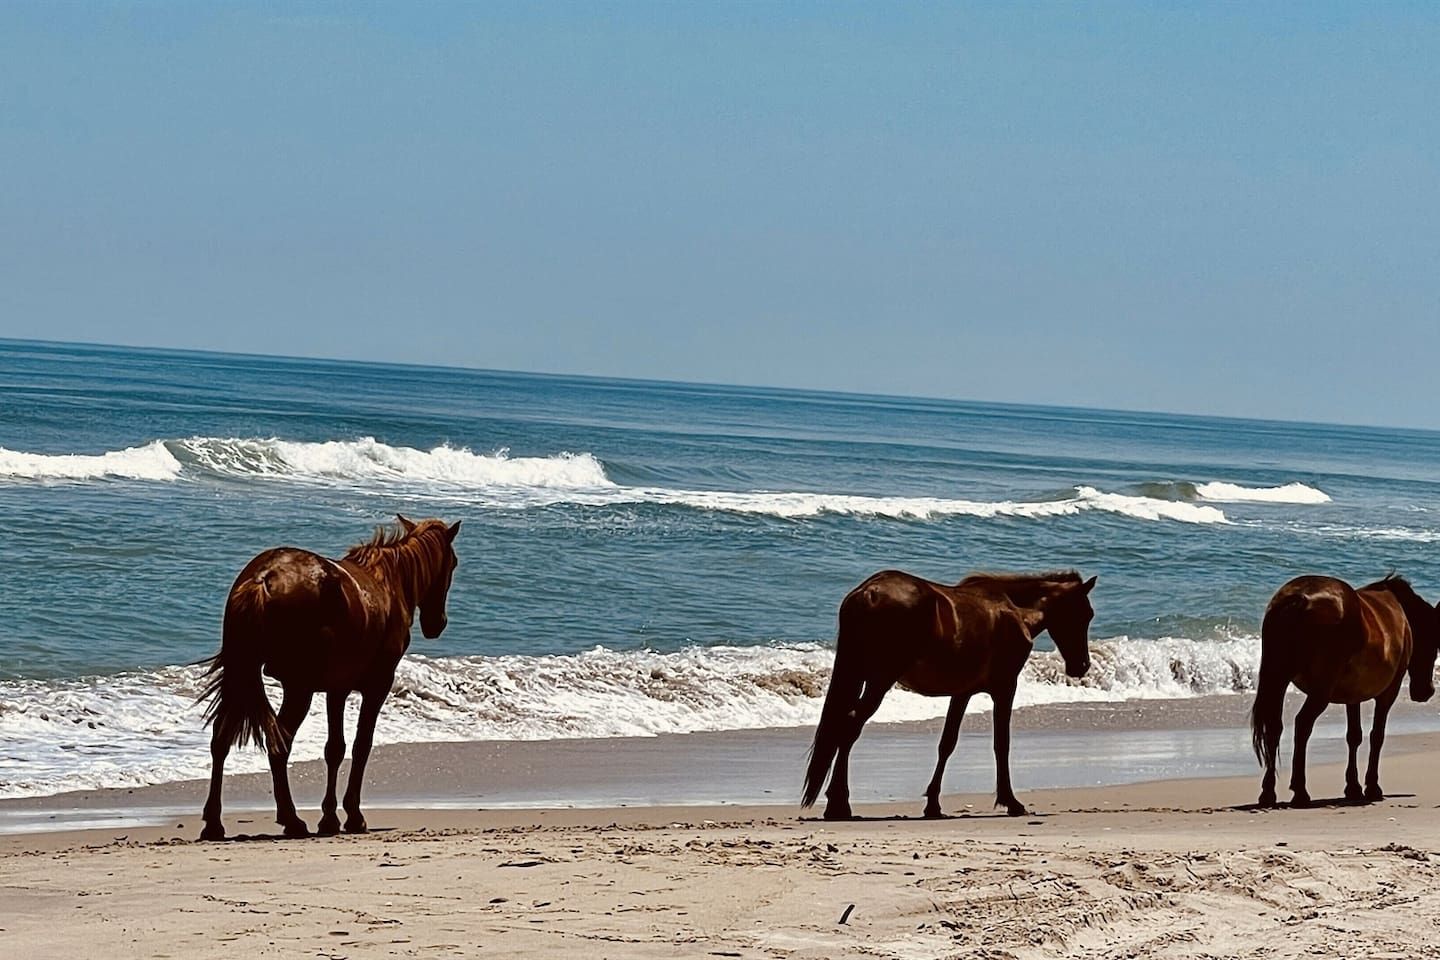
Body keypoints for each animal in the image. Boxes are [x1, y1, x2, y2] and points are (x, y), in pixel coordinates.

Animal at [198, 515, 461, 840]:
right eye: (453, 564)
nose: (437, 623)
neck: (388, 583)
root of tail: (264, 578)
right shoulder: (374, 686)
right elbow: (358, 745)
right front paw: (348, 816)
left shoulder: (337, 689)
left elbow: (335, 749)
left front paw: (331, 817)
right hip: (298, 688)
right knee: (279, 744)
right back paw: (292, 820)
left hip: (242, 676)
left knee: (222, 739)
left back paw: (214, 822)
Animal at [801, 569, 1096, 821]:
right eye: (1085, 614)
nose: (1082, 666)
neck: (1014, 610)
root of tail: (867, 591)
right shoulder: (1005, 687)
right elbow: (1001, 744)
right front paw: (1011, 802)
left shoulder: (962, 693)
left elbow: (947, 744)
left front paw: (933, 804)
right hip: (879, 681)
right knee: (850, 726)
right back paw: (839, 805)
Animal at [1250, 574, 1437, 808]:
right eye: (1434, 645)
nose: (1426, 691)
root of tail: (1299, 598)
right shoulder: (1388, 693)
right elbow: (1377, 736)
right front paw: (1372, 787)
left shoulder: (1353, 696)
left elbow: (1354, 736)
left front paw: (1353, 787)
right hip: (1320, 691)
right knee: (1302, 725)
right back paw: (1300, 791)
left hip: (1278, 680)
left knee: (1275, 728)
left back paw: (1268, 793)